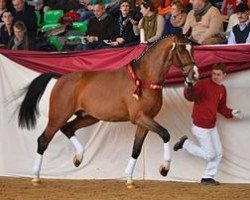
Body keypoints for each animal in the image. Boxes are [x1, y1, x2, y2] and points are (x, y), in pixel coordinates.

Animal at [17, 35, 199, 188]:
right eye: (182, 50)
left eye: (193, 49)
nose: (195, 75)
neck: (144, 79)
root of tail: (60, 78)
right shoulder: (139, 117)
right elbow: (165, 133)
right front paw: (164, 168)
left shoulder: (145, 121)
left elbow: (136, 149)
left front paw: (129, 179)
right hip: (58, 116)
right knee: (43, 140)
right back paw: (36, 177)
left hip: (89, 117)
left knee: (67, 129)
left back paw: (78, 158)